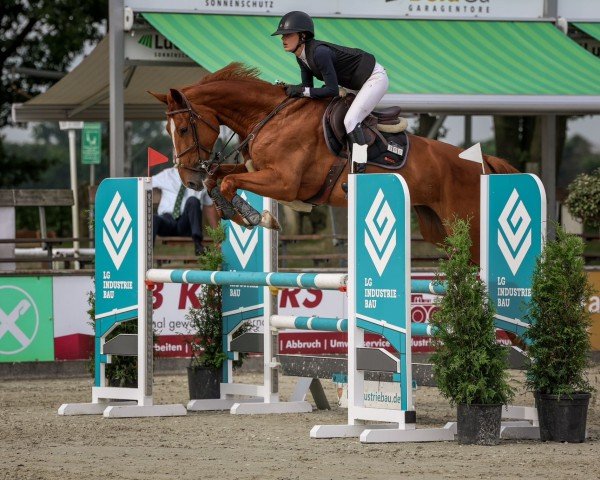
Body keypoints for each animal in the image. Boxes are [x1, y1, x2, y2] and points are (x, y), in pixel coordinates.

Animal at [149, 63, 516, 260]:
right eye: (168, 130)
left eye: (184, 128)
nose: (188, 180)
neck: (269, 116)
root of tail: (484, 163)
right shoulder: (259, 170)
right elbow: (219, 179)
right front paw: (245, 216)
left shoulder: (285, 182)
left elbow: (227, 181)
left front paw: (258, 217)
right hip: (438, 228)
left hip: (468, 227)